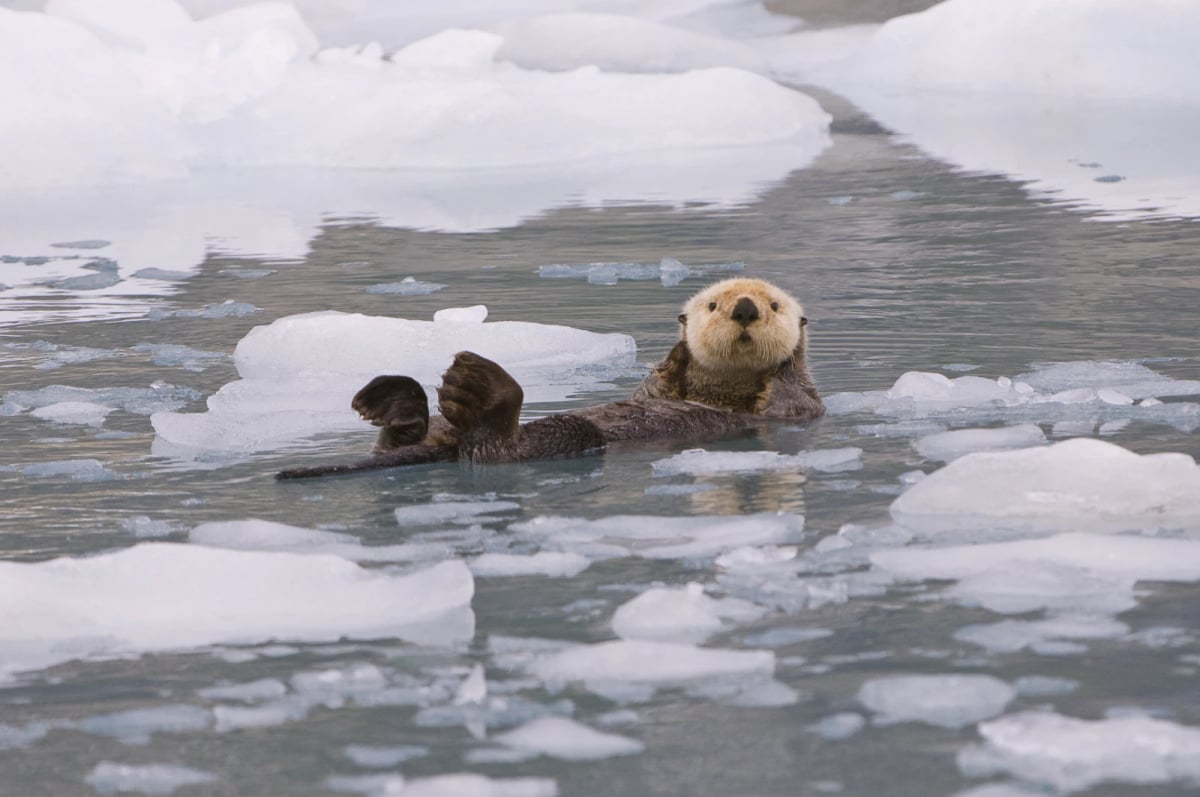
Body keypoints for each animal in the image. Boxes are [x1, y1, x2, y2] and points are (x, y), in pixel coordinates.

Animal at [277, 278, 823, 479]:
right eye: (713, 305)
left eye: (774, 305)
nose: (746, 308)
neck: (723, 391)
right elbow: (654, 387)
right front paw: (673, 356)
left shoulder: (799, 406)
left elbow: (789, 396)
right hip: (440, 433)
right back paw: (395, 399)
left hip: (564, 435)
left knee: (493, 448)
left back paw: (477, 389)